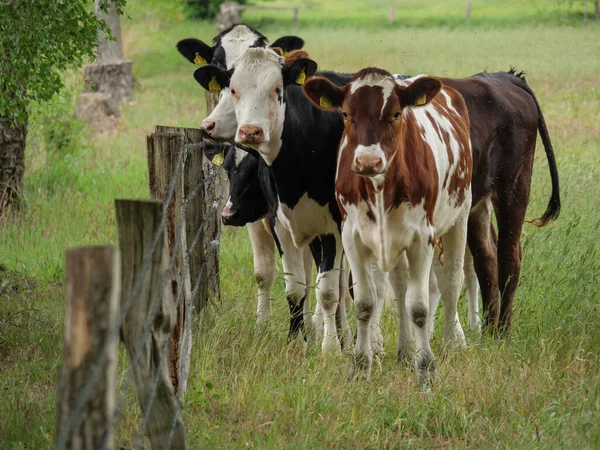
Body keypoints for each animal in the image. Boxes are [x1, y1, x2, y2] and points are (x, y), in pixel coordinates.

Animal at [304, 68, 474, 384]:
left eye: (395, 114)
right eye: (345, 114)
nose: (368, 161)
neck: (380, 186)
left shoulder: (422, 238)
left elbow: (419, 307)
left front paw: (426, 370)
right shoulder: (352, 237)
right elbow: (365, 303)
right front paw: (360, 366)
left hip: (460, 217)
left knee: (450, 283)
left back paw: (449, 345)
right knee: (399, 287)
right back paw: (405, 350)